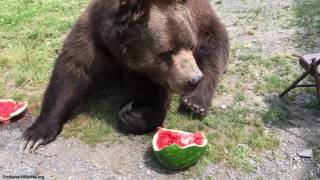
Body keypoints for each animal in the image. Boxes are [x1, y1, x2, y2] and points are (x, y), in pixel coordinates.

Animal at [20, 0, 229, 153]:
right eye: (168, 51)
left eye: (190, 45)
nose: (193, 79)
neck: (122, 53)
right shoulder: (93, 39)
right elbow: (68, 76)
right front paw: (34, 135)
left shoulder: (152, 73)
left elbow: (154, 98)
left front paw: (134, 115)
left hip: (205, 22)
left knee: (213, 52)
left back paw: (195, 102)